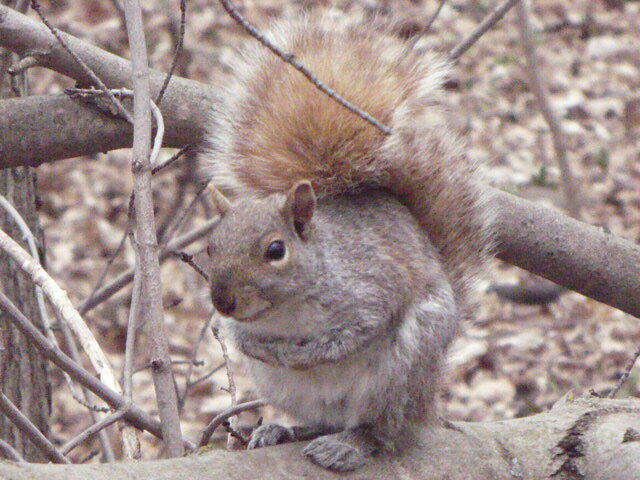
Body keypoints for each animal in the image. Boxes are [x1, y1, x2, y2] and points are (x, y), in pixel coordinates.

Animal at [205, 8, 496, 472]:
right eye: (210, 247)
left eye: (276, 250)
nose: (224, 301)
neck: (284, 313)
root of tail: (427, 401)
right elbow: (239, 335)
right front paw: (248, 342)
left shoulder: (372, 291)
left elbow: (350, 334)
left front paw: (296, 353)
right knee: (322, 420)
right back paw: (281, 430)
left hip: (401, 370)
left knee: (383, 431)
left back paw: (350, 444)